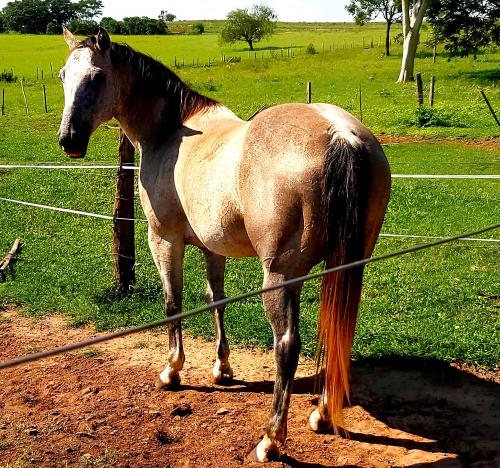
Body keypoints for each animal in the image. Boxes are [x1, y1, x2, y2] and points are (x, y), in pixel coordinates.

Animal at [57, 29, 390, 464]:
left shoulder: (163, 238)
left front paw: (172, 370)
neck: (171, 130)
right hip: (348, 266)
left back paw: (271, 440)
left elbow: (173, 302)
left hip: (279, 276)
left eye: (96, 77)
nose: (69, 140)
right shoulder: (212, 248)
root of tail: (341, 135)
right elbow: (216, 299)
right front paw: (222, 368)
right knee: (337, 331)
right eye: (63, 76)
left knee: (287, 345)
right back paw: (321, 415)